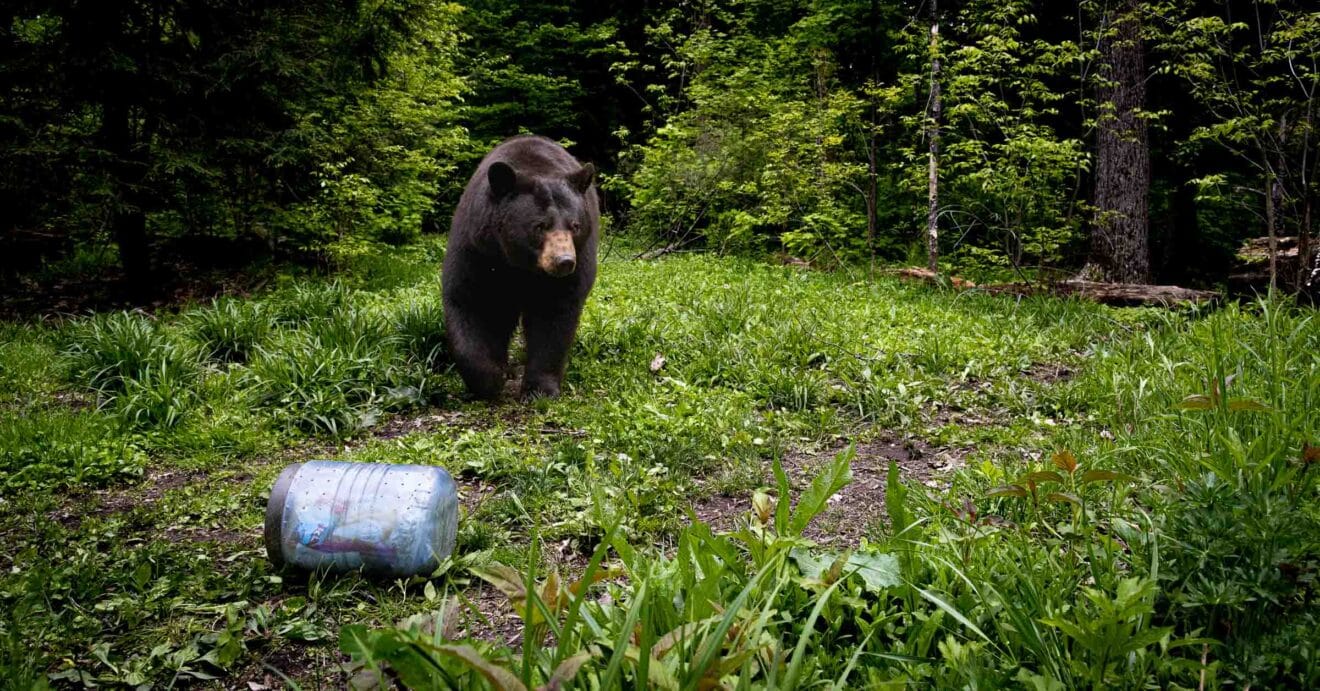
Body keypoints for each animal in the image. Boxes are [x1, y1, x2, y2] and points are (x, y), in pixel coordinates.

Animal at [442, 135, 599, 400]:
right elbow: (470, 301)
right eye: (540, 226)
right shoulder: (477, 250)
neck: (520, 264)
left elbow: (553, 314)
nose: (564, 261)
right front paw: (490, 378)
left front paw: (540, 388)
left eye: (575, 225)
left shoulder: (574, 265)